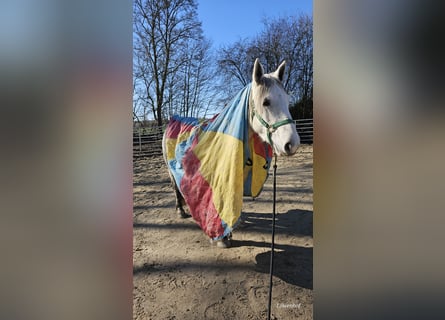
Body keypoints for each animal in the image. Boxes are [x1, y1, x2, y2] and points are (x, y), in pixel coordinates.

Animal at [162, 58, 298, 248]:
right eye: (266, 102)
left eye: (287, 100)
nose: (292, 144)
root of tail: (173, 120)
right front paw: (222, 237)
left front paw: (236, 221)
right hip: (170, 169)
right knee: (176, 187)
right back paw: (181, 211)